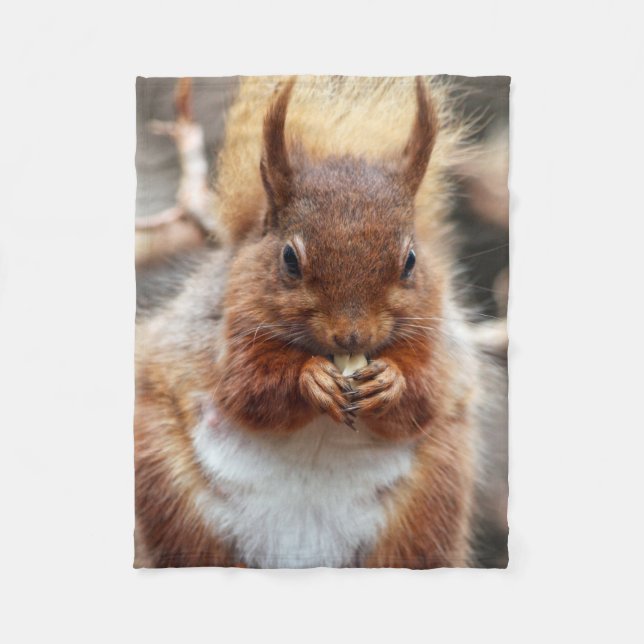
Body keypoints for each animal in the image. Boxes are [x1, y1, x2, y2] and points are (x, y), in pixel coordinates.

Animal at [134, 76, 502, 568]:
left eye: (410, 261)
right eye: (289, 258)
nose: (352, 335)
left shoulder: (437, 334)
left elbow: (424, 396)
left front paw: (391, 381)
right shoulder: (225, 328)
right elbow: (248, 390)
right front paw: (310, 379)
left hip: (428, 507)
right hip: (170, 492)